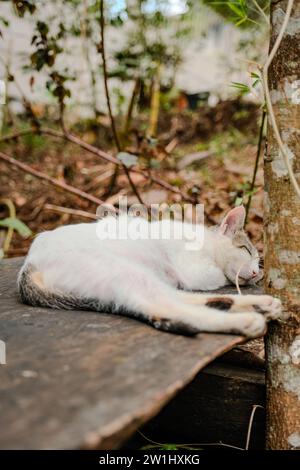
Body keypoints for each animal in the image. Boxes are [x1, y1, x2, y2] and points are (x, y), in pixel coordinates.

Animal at [17, 206, 282, 338]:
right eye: (247, 250)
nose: (256, 274)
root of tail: (28, 267)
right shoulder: (196, 271)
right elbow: (216, 276)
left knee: (173, 300)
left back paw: (261, 304)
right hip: (118, 270)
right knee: (166, 305)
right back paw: (247, 320)